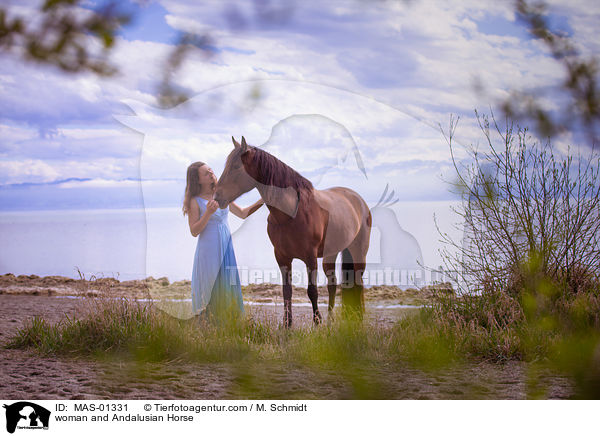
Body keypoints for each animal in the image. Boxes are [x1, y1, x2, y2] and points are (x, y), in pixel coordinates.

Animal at [211, 136, 370, 328]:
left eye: (235, 167)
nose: (217, 197)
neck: (292, 212)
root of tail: (358, 200)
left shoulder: (310, 256)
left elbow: (312, 290)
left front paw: (317, 322)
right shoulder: (282, 256)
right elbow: (287, 290)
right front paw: (287, 324)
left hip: (358, 252)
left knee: (359, 283)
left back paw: (358, 318)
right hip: (331, 254)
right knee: (333, 285)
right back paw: (331, 320)